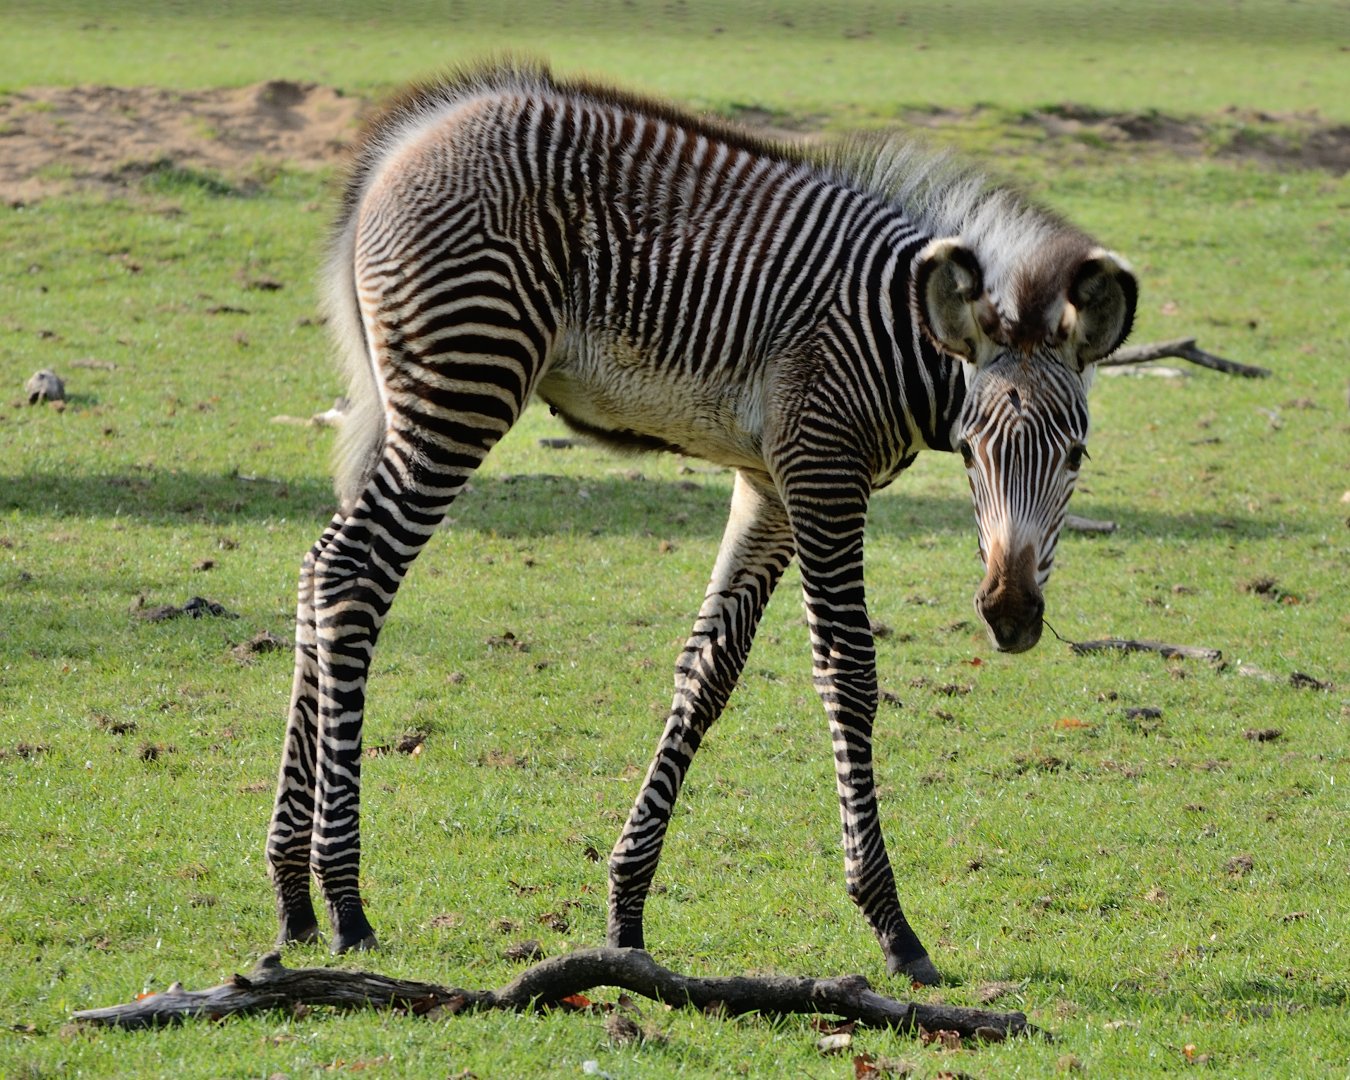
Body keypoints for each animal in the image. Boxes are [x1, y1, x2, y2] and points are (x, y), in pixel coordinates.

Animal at [265, 62, 1136, 985]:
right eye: (971, 453)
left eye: (1077, 454)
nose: (1010, 614)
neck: (900, 337)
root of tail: (404, 145)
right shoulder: (822, 468)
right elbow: (849, 673)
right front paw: (894, 927)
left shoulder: (770, 486)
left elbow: (708, 671)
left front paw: (626, 912)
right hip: (465, 383)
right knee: (351, 577)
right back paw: (345, 901)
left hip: (404, 399)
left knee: (318, 570)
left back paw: (293, 897)